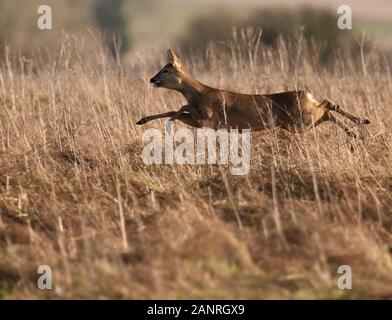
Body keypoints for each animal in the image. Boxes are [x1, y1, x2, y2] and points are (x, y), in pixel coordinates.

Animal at [136, 49, 370, 137]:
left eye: (165, 70)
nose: (152, 79)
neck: (199, 94)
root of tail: (307, 95)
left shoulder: (210, 119)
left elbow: (179, 108)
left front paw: (167, 122)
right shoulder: (204, 122)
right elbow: (176, 110)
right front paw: (142, 120)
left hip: (301, 120)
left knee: (328, 105)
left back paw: (359, 125)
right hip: (302, 121)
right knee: (328, 109)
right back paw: (357, 129)